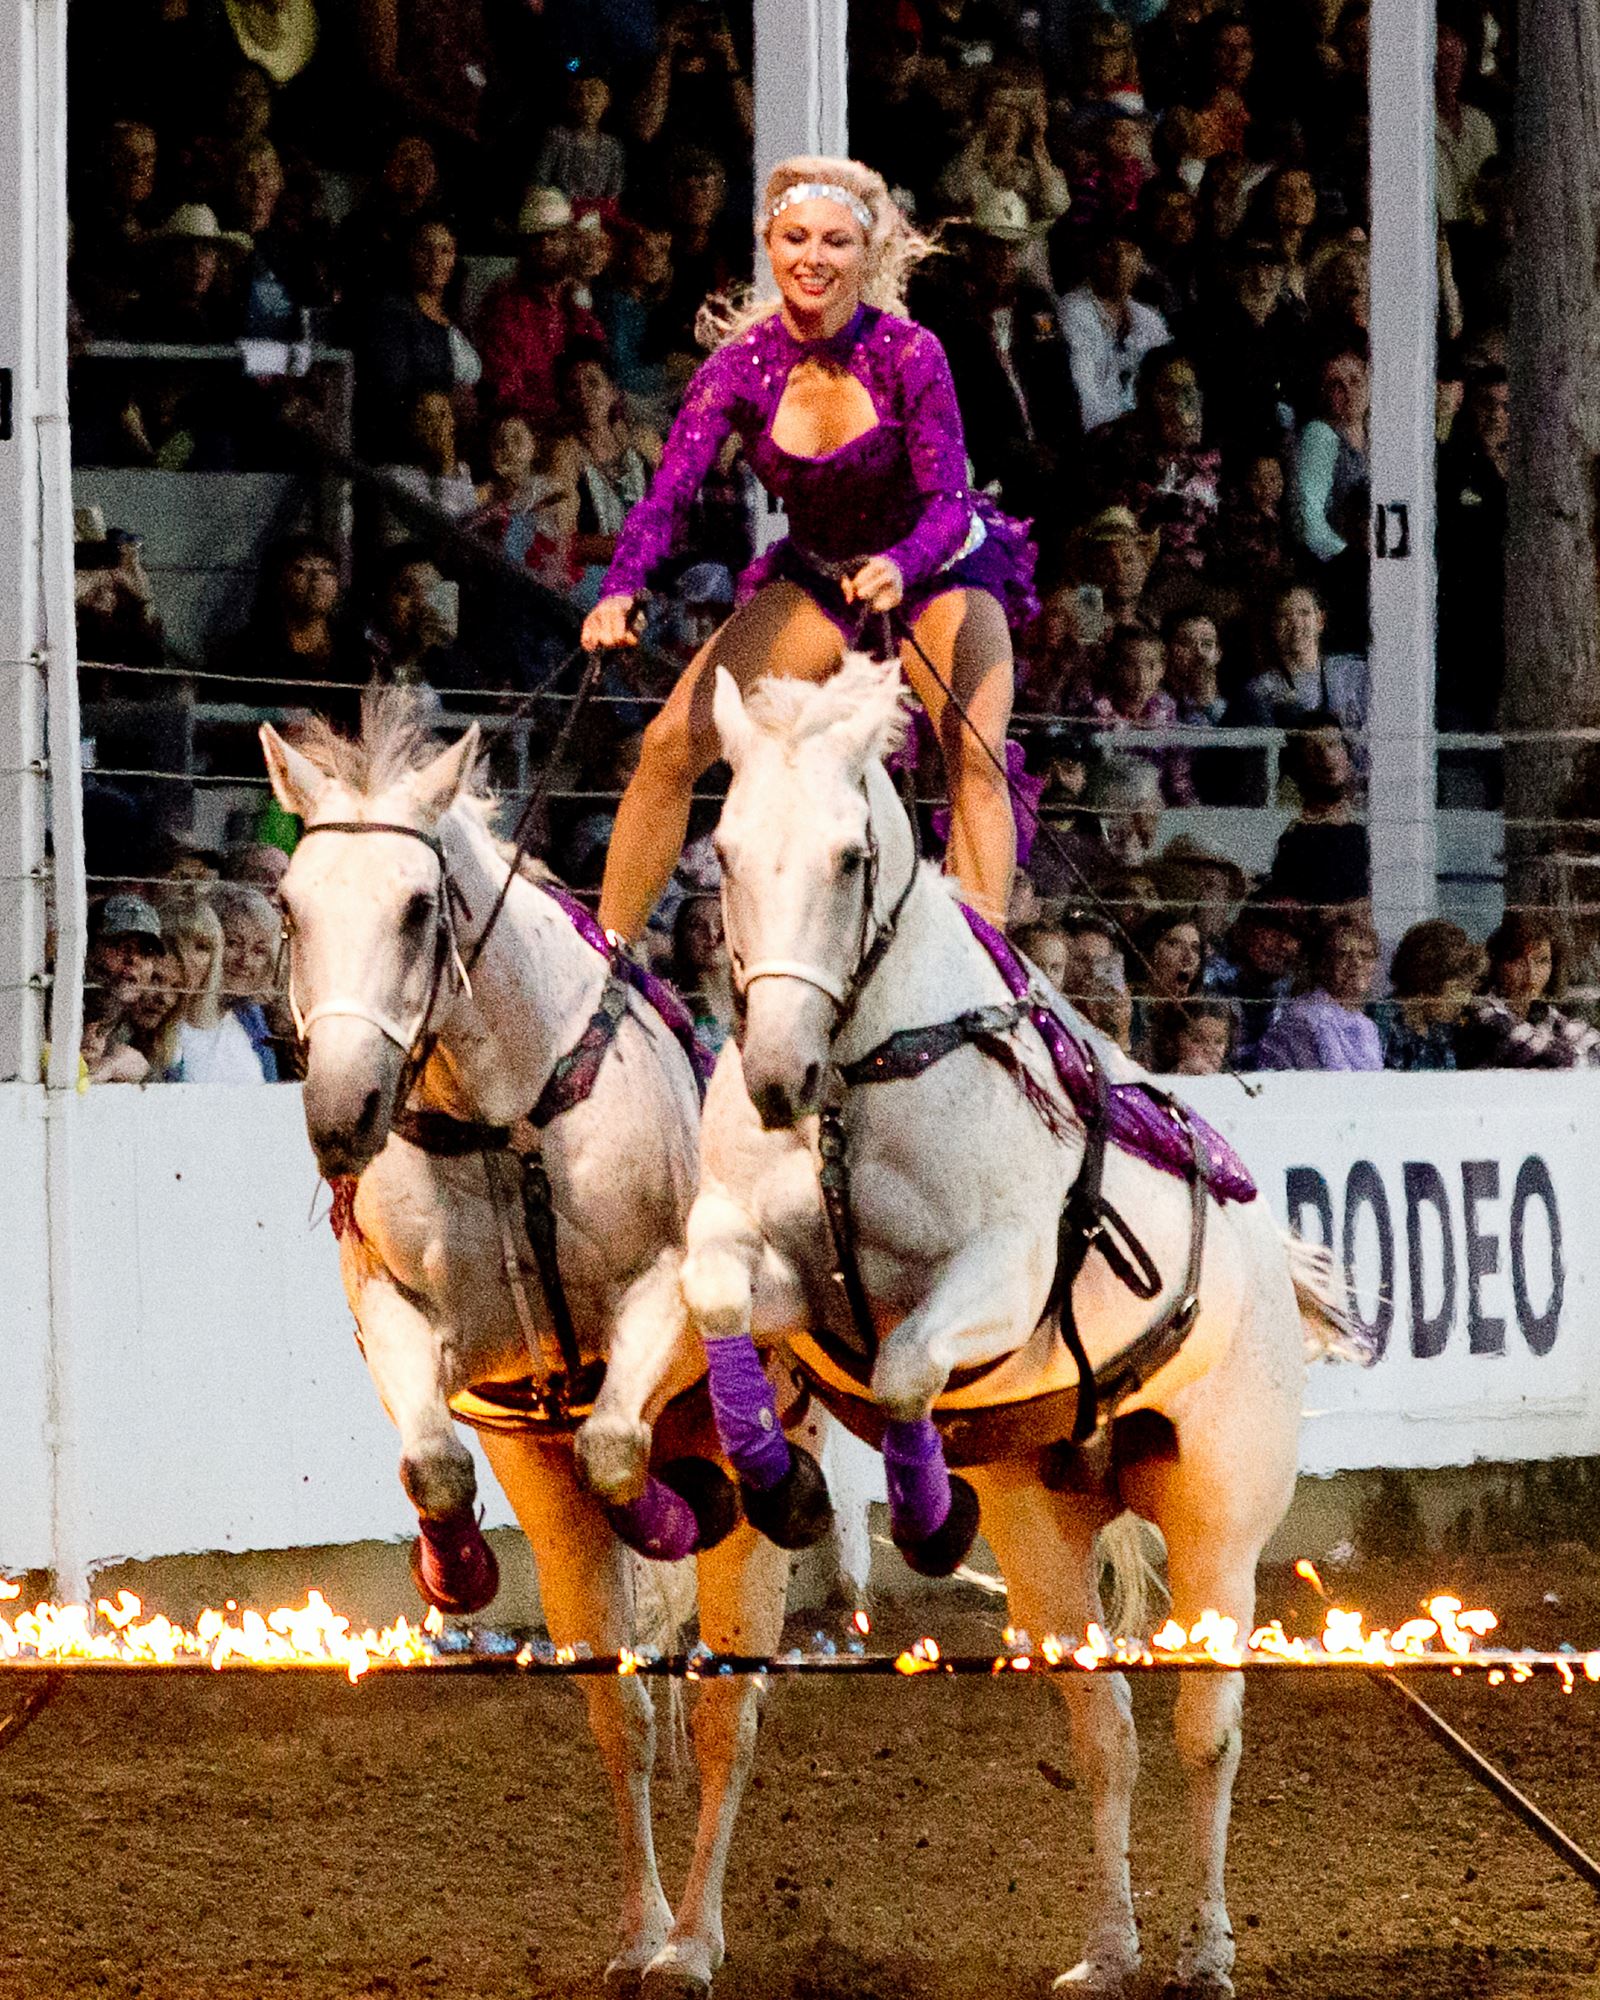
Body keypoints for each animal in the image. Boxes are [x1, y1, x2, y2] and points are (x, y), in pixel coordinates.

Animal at [262, 692, 824, 2000]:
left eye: (418, 908)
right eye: (292, 905)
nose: (339, 1116)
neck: (502, 1115)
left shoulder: (665, 1294)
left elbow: (622, 1443)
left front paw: (666, 1506)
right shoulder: (406, 1322)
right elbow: (433, 1461)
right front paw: (457, 1569)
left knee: (726, 1713)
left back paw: (691, 1941)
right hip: (549, 1493)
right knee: (622, 1708)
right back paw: (639, 1928)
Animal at [668, 660, 1360, 2000]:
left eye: (849, 856)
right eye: (722, 849)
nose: (776, 1076)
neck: (864, 1078)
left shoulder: (1001, 1268)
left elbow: (904, 1364)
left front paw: (927, 1515)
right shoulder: (759, 1255)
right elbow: (724, 1300)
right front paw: (775, 1474)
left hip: (1218, 1521)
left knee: (1205, 1731)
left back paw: (1203, 1950)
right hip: (1050, 1532)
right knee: (1107, 1736)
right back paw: (1109, 1948)